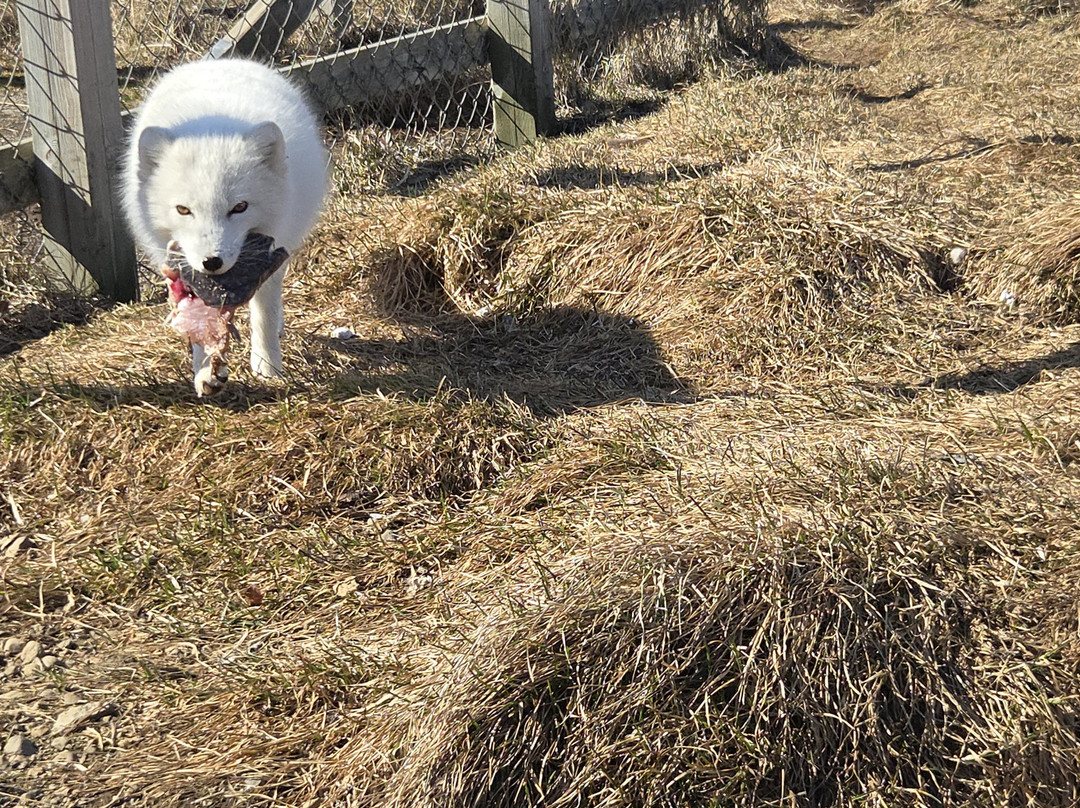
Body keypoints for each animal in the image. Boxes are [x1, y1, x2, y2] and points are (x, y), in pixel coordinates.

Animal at [122, 58, 329, 396]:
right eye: (183, 210)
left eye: (239, 207)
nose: (211, 262)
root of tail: (221, 60)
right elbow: (198, 324)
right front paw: (204, 372)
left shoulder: (273, 254)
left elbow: (264, 314)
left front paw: (268, 368)